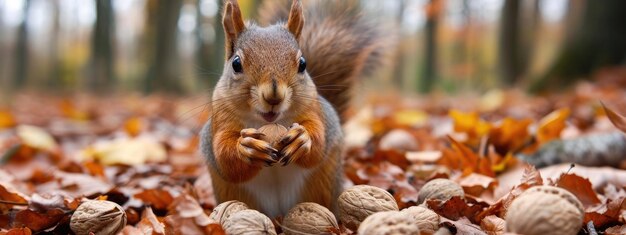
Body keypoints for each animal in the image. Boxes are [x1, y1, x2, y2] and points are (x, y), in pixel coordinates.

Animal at [199, 0, 386, 218]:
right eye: (236, 64)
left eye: (303, 64)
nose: (274, 95)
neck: (268, 122)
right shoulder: (221, 120)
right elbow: (224, 158)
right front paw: (246, 147)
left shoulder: (315, 111)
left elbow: (318, 142)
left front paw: (302, 138)